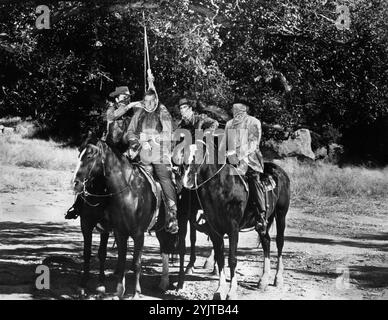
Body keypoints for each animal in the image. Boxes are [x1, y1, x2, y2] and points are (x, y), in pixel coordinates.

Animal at [72, 139, 178, 298]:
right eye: (79, 155)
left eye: (89, 156)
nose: (75, 183)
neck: (128, 193)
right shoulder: (116, 231)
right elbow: (117, 259)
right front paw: (118, 291)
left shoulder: (138, 234)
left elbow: (136, 263)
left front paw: (136, 293)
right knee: (163, 249)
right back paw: (162, 283)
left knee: (167, 248)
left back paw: (166, 283)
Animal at [177, 139, 290, 300]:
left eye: (198, 154)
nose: (185, 178)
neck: (221, 187)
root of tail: (280, 172)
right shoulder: (215, 230)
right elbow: (220, 258)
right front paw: (220, 290)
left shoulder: (233, 229)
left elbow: (232, 259)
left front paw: (232, 292)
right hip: (263, 222)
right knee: (266, 241)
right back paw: (263, 280)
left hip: (281, 214)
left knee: (280, 242)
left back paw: (278, 278)